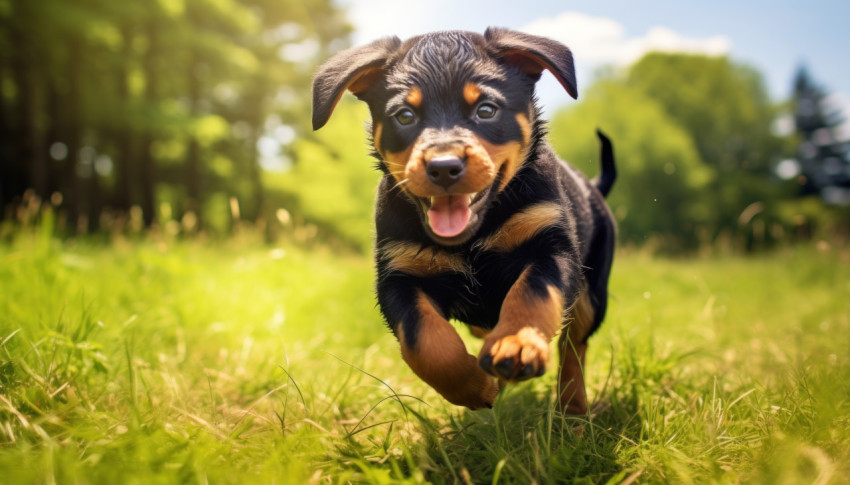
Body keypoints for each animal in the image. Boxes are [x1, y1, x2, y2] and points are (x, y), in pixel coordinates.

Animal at [312, 27, 616, 412]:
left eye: (486, 110)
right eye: (404, 116)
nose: (443, 167)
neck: (471, 239)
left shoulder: (549, 246)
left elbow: (532, 294)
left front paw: (515, 344)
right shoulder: (399, 274)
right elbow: (424, 341)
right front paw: (477, 386)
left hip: (592, 292)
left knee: (574, 347)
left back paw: (573, 409)